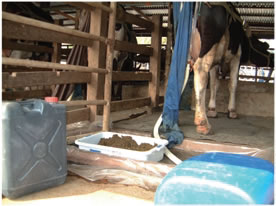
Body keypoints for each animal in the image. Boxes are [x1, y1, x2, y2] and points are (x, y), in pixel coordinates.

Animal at [189, 3, 272, 135]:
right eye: (264, 50)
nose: (272, 59)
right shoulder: (236, 58)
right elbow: (233, 84)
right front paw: (232, 111)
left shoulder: (216, 62)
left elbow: (214, 84)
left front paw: (212, 109)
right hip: (210, 42)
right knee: (200, 69)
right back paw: (202, 123)